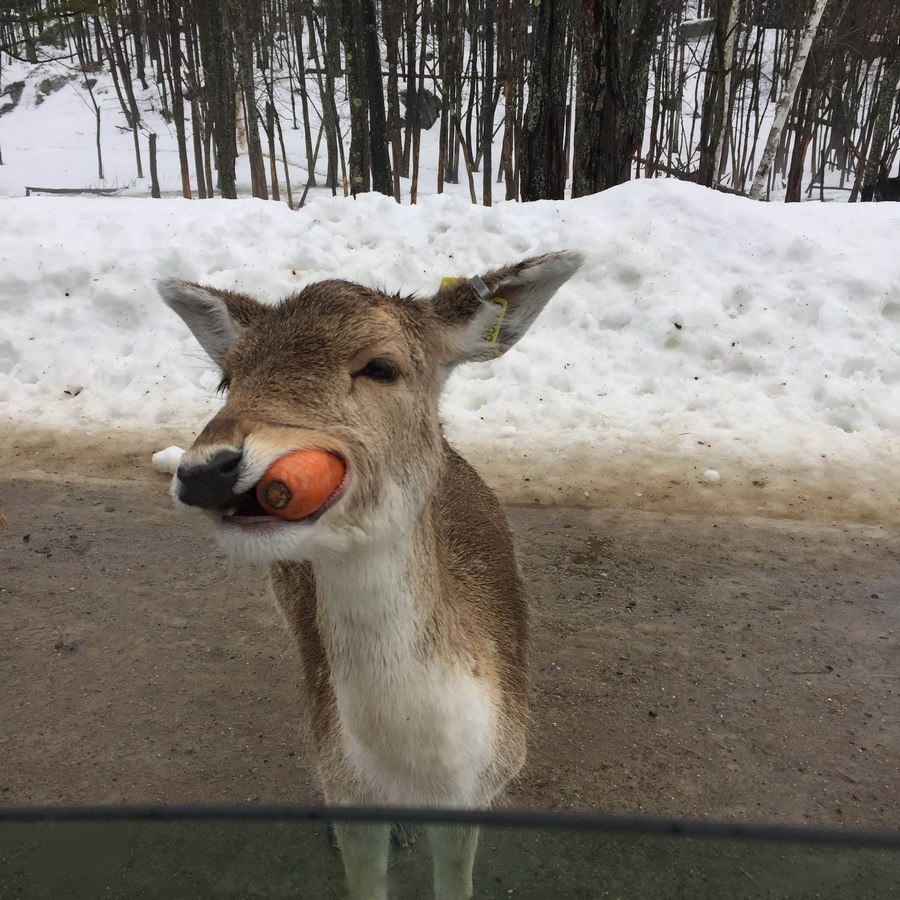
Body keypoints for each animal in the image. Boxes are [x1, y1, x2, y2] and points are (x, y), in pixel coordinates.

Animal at [157, 250, 584, 900]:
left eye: (381, 367)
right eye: (226, 378)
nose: (206, 471)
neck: (421, 766)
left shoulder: (479, 795)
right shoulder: (344, 791)